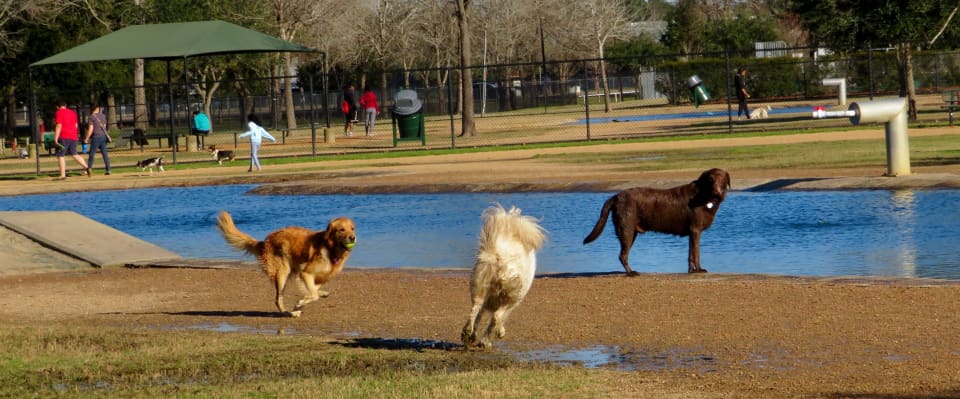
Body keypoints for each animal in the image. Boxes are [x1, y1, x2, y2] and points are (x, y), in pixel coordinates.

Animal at [464, 205, 548, 348]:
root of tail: (498, 256)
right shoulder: (513, 300)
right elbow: (499, 319)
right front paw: (497, 334)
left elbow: (480, 315)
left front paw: (473, 336)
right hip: (511, 296)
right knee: (496, 316)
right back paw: (487, 339)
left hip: (479, 286)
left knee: (475, 308)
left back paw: (467, 332)